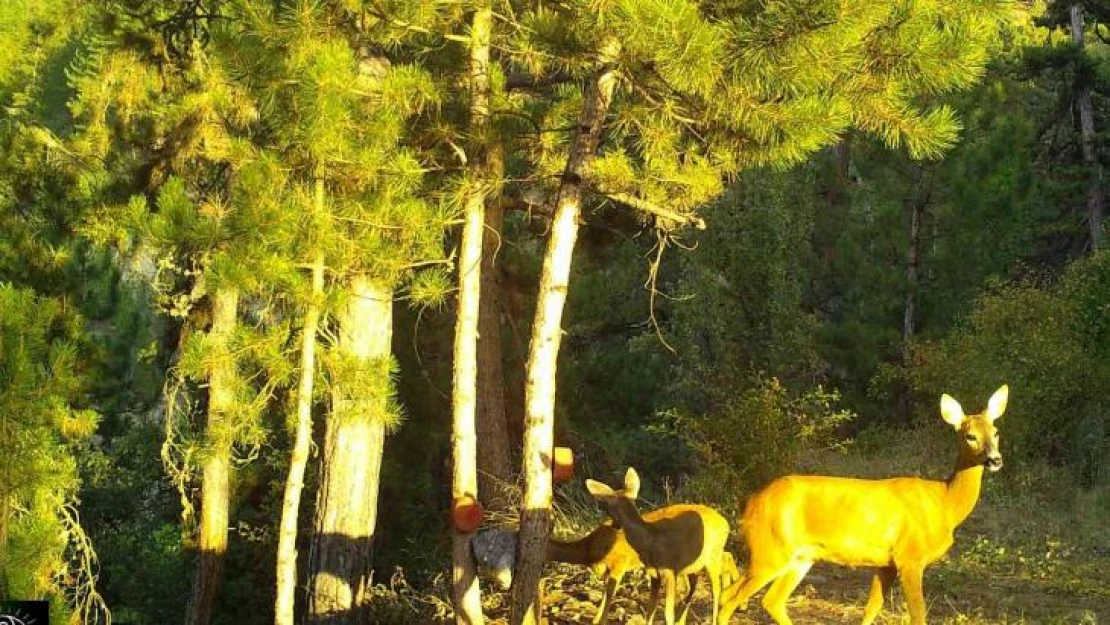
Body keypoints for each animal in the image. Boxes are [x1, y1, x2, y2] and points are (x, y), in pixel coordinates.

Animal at [586, 466, 732, 621]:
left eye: (608, 509)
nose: (614, 525)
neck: (648, 541)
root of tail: (725, 523)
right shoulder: (654, 574)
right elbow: (650, 609)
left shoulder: (669, 571)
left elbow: (667, 613)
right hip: (692, 566)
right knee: (695, 584)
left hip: (712, 557)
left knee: (716, 589)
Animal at [714, 386, 1012, 625]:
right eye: (970, 436)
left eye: (996, 432)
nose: (995, 460)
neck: (944, 504)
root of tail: (748, 503)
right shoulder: (910, 557)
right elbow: (918, 615)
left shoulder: (887, 563)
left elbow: (871, 609)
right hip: (769, 550)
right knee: (732, 598)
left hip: (800, 556)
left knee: (769, 600)